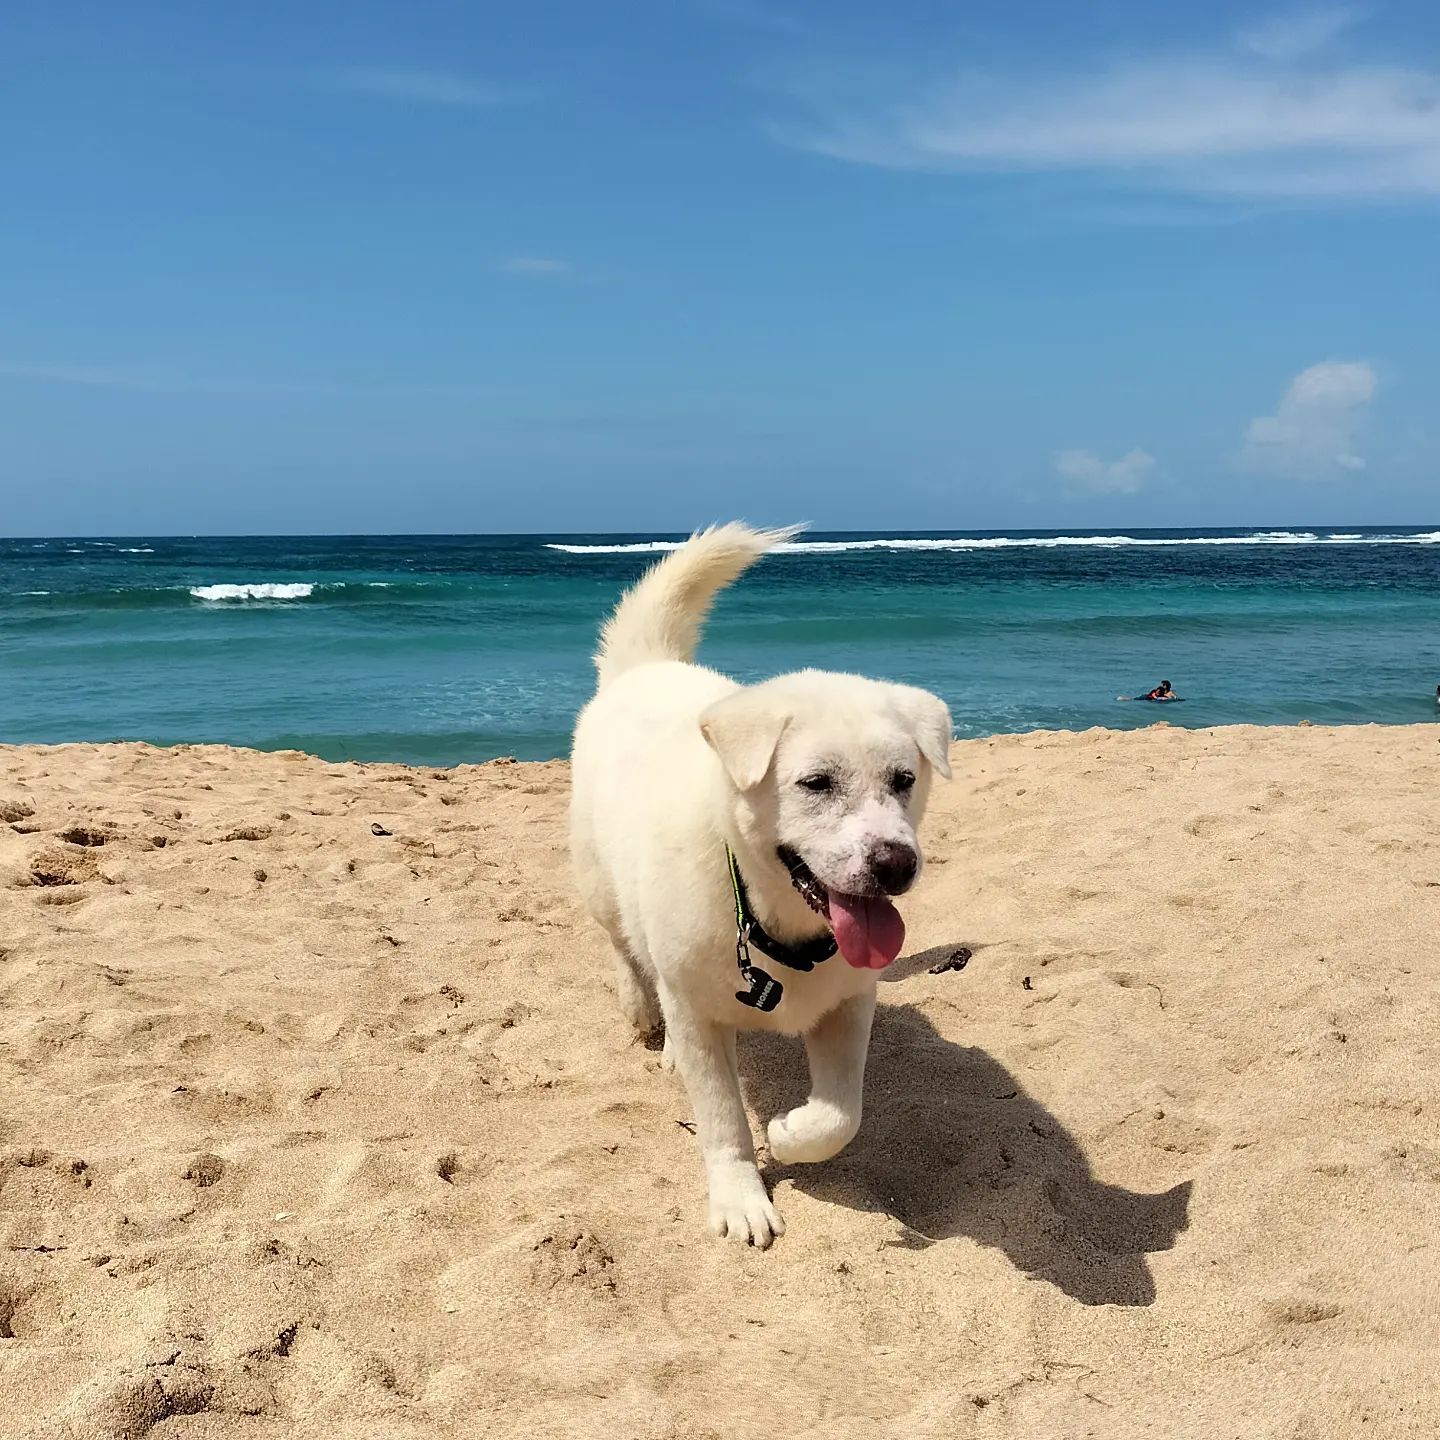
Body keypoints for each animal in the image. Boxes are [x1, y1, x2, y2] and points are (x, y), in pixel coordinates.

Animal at [567, 524, 950, 1244]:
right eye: (816, 783)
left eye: (904, 780)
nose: (896, 865)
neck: (775, 924)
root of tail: (647, 667)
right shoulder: (697, 1011)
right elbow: (722, 1120)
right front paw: (740, 1197)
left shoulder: (849, 1002)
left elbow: (841, 1114)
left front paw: (792, 1132)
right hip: (602, 885)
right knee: (626, 950)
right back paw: (643, 1012)